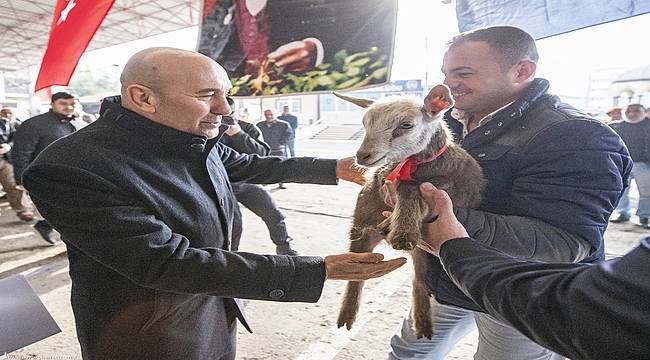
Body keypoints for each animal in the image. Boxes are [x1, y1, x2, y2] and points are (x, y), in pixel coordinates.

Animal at [336, 86, 484, 338]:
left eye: (406, 125)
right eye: (365, 123)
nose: (362, 156)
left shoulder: (452, 189)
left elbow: (413, 188)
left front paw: (402, 232)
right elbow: (402, 187)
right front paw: (399, 229)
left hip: (422, 253)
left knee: (419, 281)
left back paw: (423, 324)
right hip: (361, 229)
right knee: (357, 273)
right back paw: (347, 315)